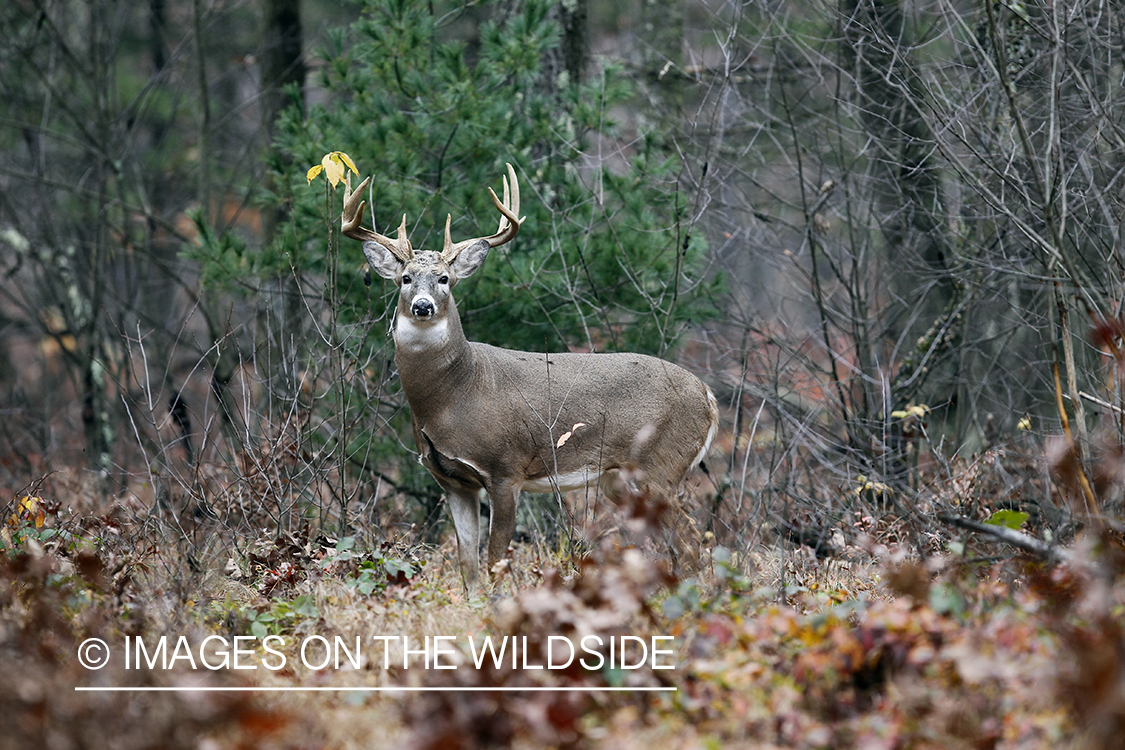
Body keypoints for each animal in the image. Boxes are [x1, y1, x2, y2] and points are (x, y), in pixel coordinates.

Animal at [337, 164, 720, 584]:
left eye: (444, 279)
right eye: (405, 278)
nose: (423, 306)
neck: (454, 392)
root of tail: (708, 395)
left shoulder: (506, 468)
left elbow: (495, 559)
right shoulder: (451, 480)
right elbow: (468, 563)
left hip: (660, 464)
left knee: (691, 540)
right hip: (620, 479)